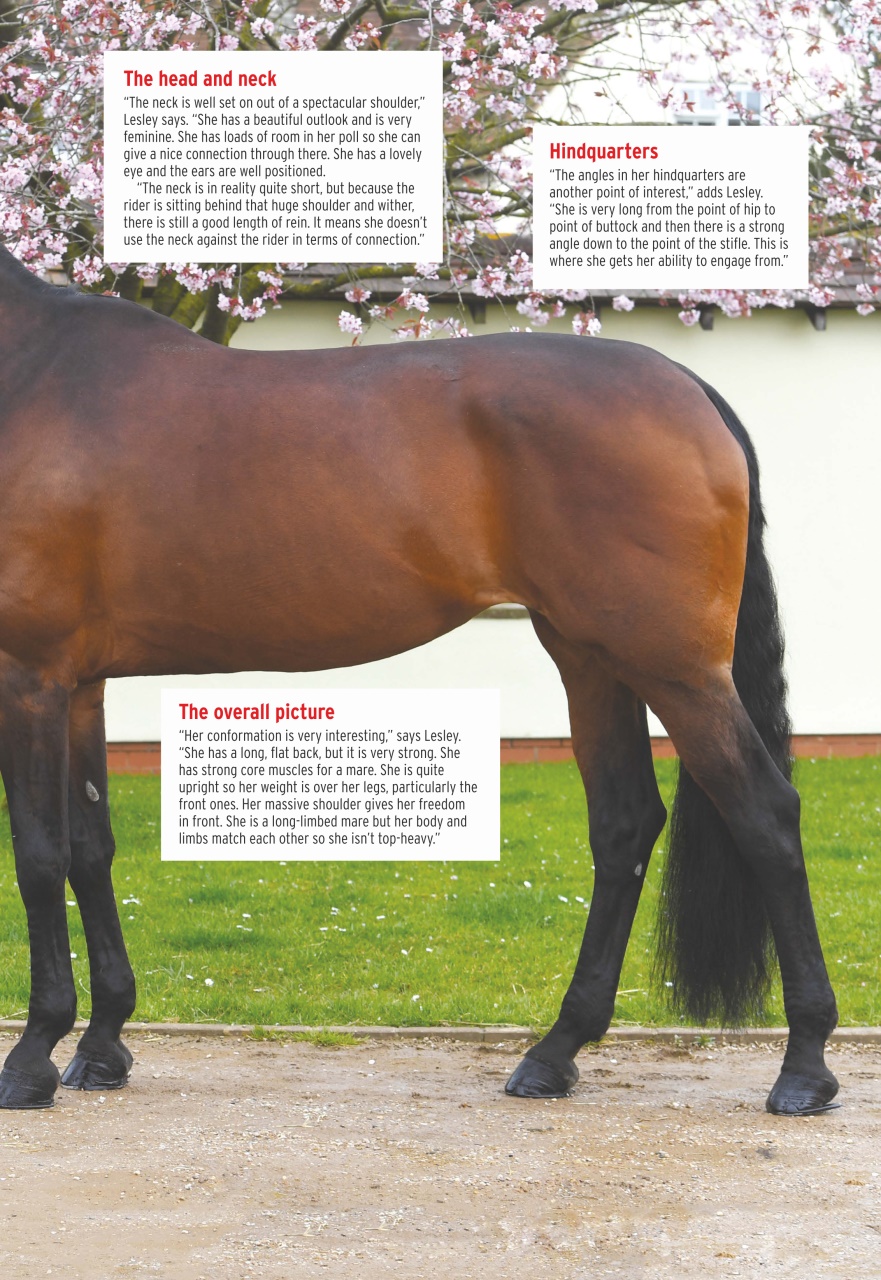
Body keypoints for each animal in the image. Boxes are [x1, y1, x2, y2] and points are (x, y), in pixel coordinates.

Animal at [0, 243, 839, 1114]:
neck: (30, 373)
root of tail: (686, 387)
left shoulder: (28, 674)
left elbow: (38, 856)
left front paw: (31, 1057)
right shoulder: (79, 685)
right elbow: (89, 849)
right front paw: (101, 1047)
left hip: (672, 668)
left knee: (765, 815)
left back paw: (803, 1067)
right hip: (590, 658)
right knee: (624, 825)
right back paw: (553, 1053)